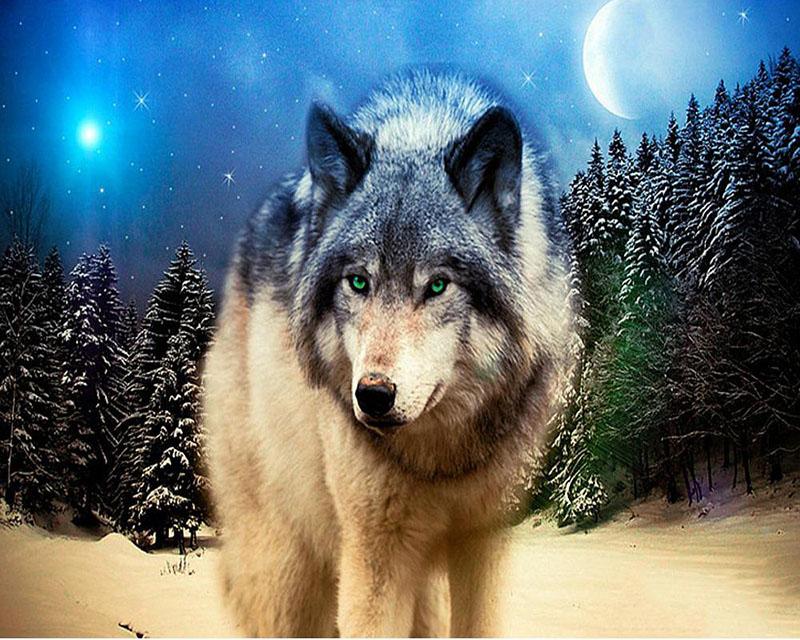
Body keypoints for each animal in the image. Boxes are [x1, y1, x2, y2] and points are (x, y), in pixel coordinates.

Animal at [205, 70, 575, 637]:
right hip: (283, 569)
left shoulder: (486, 542)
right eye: (359, 282)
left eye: (437, 285)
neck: (441, 459)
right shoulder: (374, 552)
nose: (373, 395)